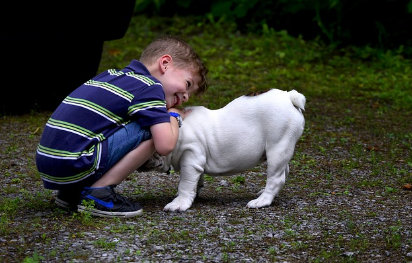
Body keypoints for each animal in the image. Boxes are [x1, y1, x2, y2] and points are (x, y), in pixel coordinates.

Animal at [143, 88, 304, 212]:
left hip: (277, 146)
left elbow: (185, 183)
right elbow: (196, 181)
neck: (176, 129)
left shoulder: (190, 160)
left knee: (276, 177)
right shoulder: (196, 163)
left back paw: (262, 200)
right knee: (284, 171)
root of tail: (289, 97)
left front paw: (179, 203)